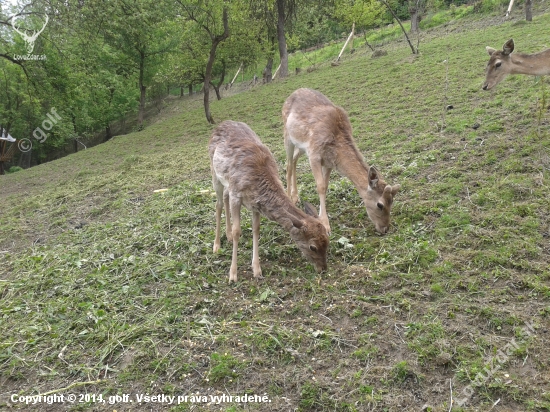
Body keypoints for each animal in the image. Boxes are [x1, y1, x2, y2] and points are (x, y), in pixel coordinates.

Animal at [209, 119, 330, 282]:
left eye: (327, 241)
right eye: (313, 247)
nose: (323, 269)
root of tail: (222, 124)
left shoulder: (254, 204)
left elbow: (256, 229)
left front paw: (257, 270)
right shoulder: (237, 195)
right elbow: (237, 231)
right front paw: (232, 275)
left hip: (227, 183)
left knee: (225, 197)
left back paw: (226, 235)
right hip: (214, 173)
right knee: (219, 204)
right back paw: (216, 246)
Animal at [284, 87, 402, 235]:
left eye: (392, 201)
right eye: (380, 205)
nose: (385, 228)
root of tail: (293, 93)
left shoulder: (328, 162)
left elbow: (325, 186)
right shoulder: (314, 154)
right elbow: (320, 186)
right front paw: (326, 225)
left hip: (300, 146)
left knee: (294, 160)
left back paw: (295, 196)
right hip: (287, 136)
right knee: (288, 164)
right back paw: (289, 198)